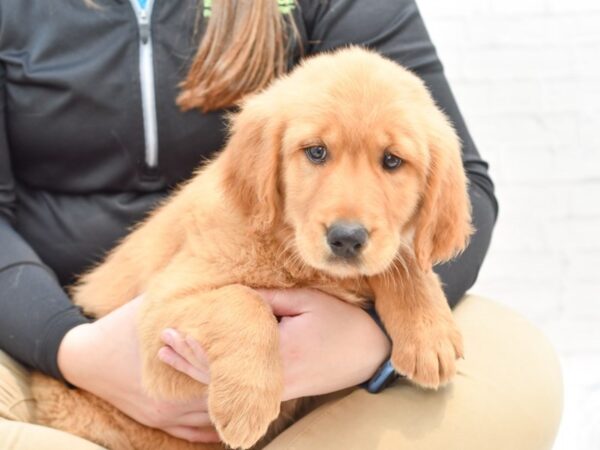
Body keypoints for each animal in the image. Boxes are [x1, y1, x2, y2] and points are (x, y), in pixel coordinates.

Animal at [31, 46, 474, 450]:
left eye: (392, 161)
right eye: (316, 152)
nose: (346, 238)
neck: (288, 247)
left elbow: (403, 260)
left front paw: (428, 332)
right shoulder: (161, 314)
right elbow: (244, 302)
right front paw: (246, 406)